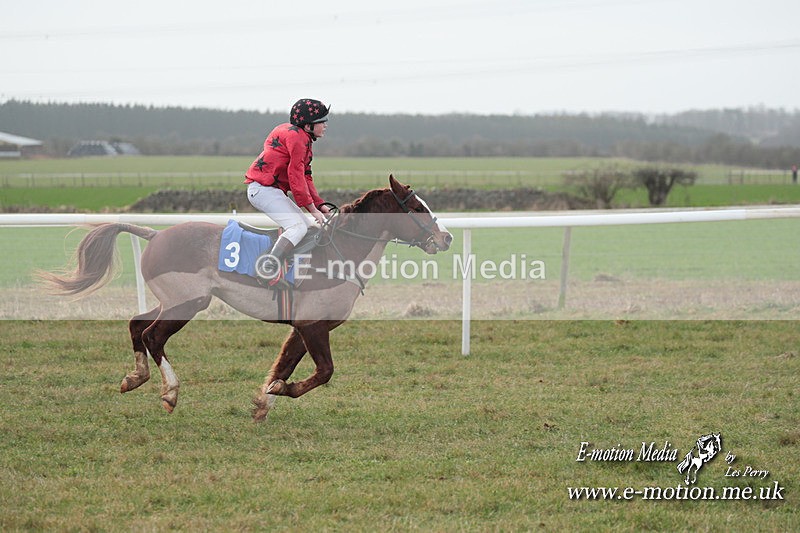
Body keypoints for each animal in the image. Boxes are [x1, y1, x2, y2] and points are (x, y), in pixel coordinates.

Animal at [40, 175, 453, 422]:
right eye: (418, 208)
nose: (446, 237)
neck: (340, 252)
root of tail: (155, 234)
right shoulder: (313, 326)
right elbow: (323, 372)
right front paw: (281, 392)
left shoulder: (301, 328)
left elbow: (283, 365)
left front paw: (263, 402)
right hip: (187, 304)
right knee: (152, 335)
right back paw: (170, 392)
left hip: (173, 301)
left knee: (136, 324)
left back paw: (134, 377)